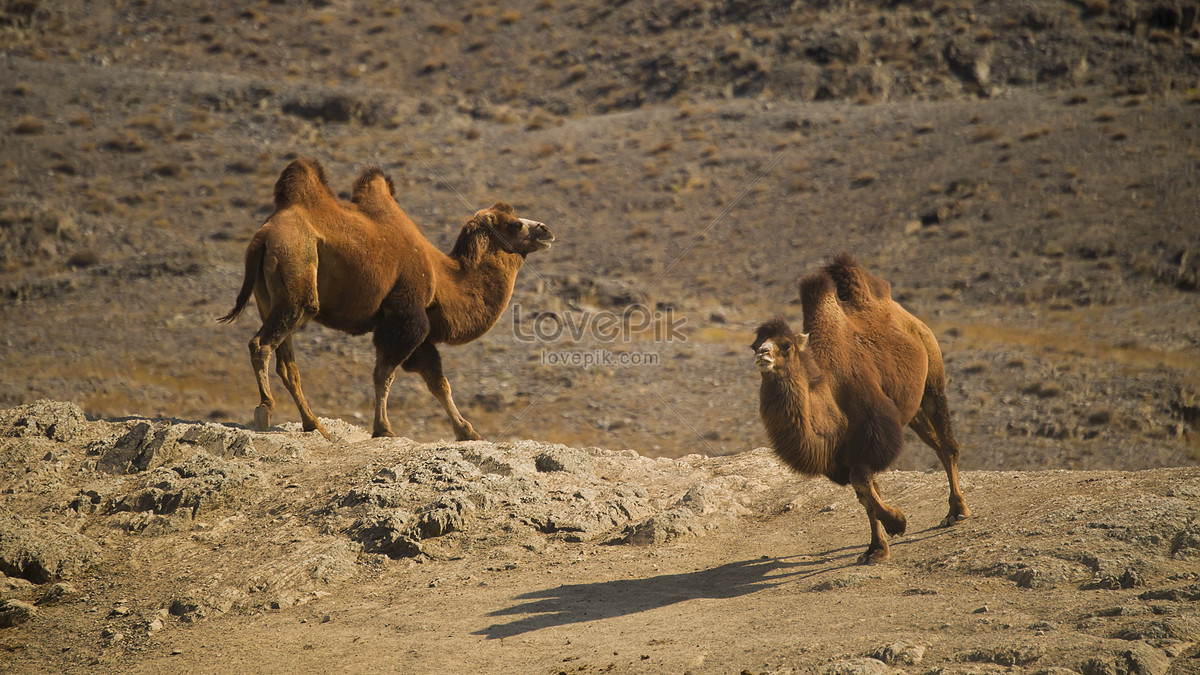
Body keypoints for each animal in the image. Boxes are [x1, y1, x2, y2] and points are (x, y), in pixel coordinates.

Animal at [218, 158, 554, 441]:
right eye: (514, 224)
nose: (546, 230)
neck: (443, 278)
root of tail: (263, 236)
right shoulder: (406, 317)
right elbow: (385, 374)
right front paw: (384, 428)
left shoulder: (419, 330)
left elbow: (438, 383)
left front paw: (467, 432)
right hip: (297, 275)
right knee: (262, 344)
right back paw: (265, 410)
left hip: (271, 298)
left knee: (287, 363)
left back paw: (315, 425)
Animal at [753, 252, 969, 562]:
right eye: (756, 344)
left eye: (786, 346)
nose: (762, 354)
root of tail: (909, 317)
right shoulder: (843, 454)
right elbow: (865, 493)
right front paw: (876, 548)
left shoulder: (870, 436)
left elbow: (861, 483)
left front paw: (897, 523)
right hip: (912, 409)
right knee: (937, 445)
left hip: (933, 380)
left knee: (948, 444)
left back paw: (958, 511)